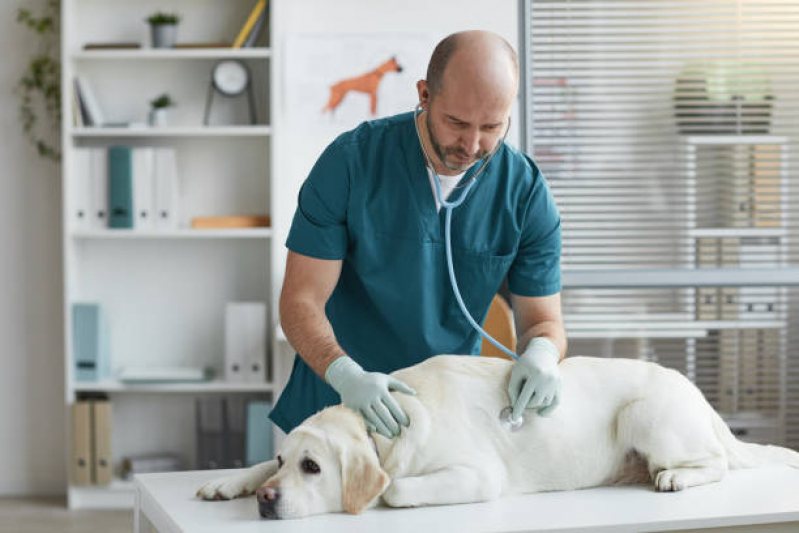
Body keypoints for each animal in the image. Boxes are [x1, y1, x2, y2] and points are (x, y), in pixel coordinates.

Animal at [195, 356, 799, 516]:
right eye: (283, 460)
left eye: (313, 468)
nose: (266, 501)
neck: (382, 428)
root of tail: (698, 392)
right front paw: (229, 483)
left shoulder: (479, 475)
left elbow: (394, 486)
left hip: (645, 415)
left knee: (716, 461)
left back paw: (674, 475)